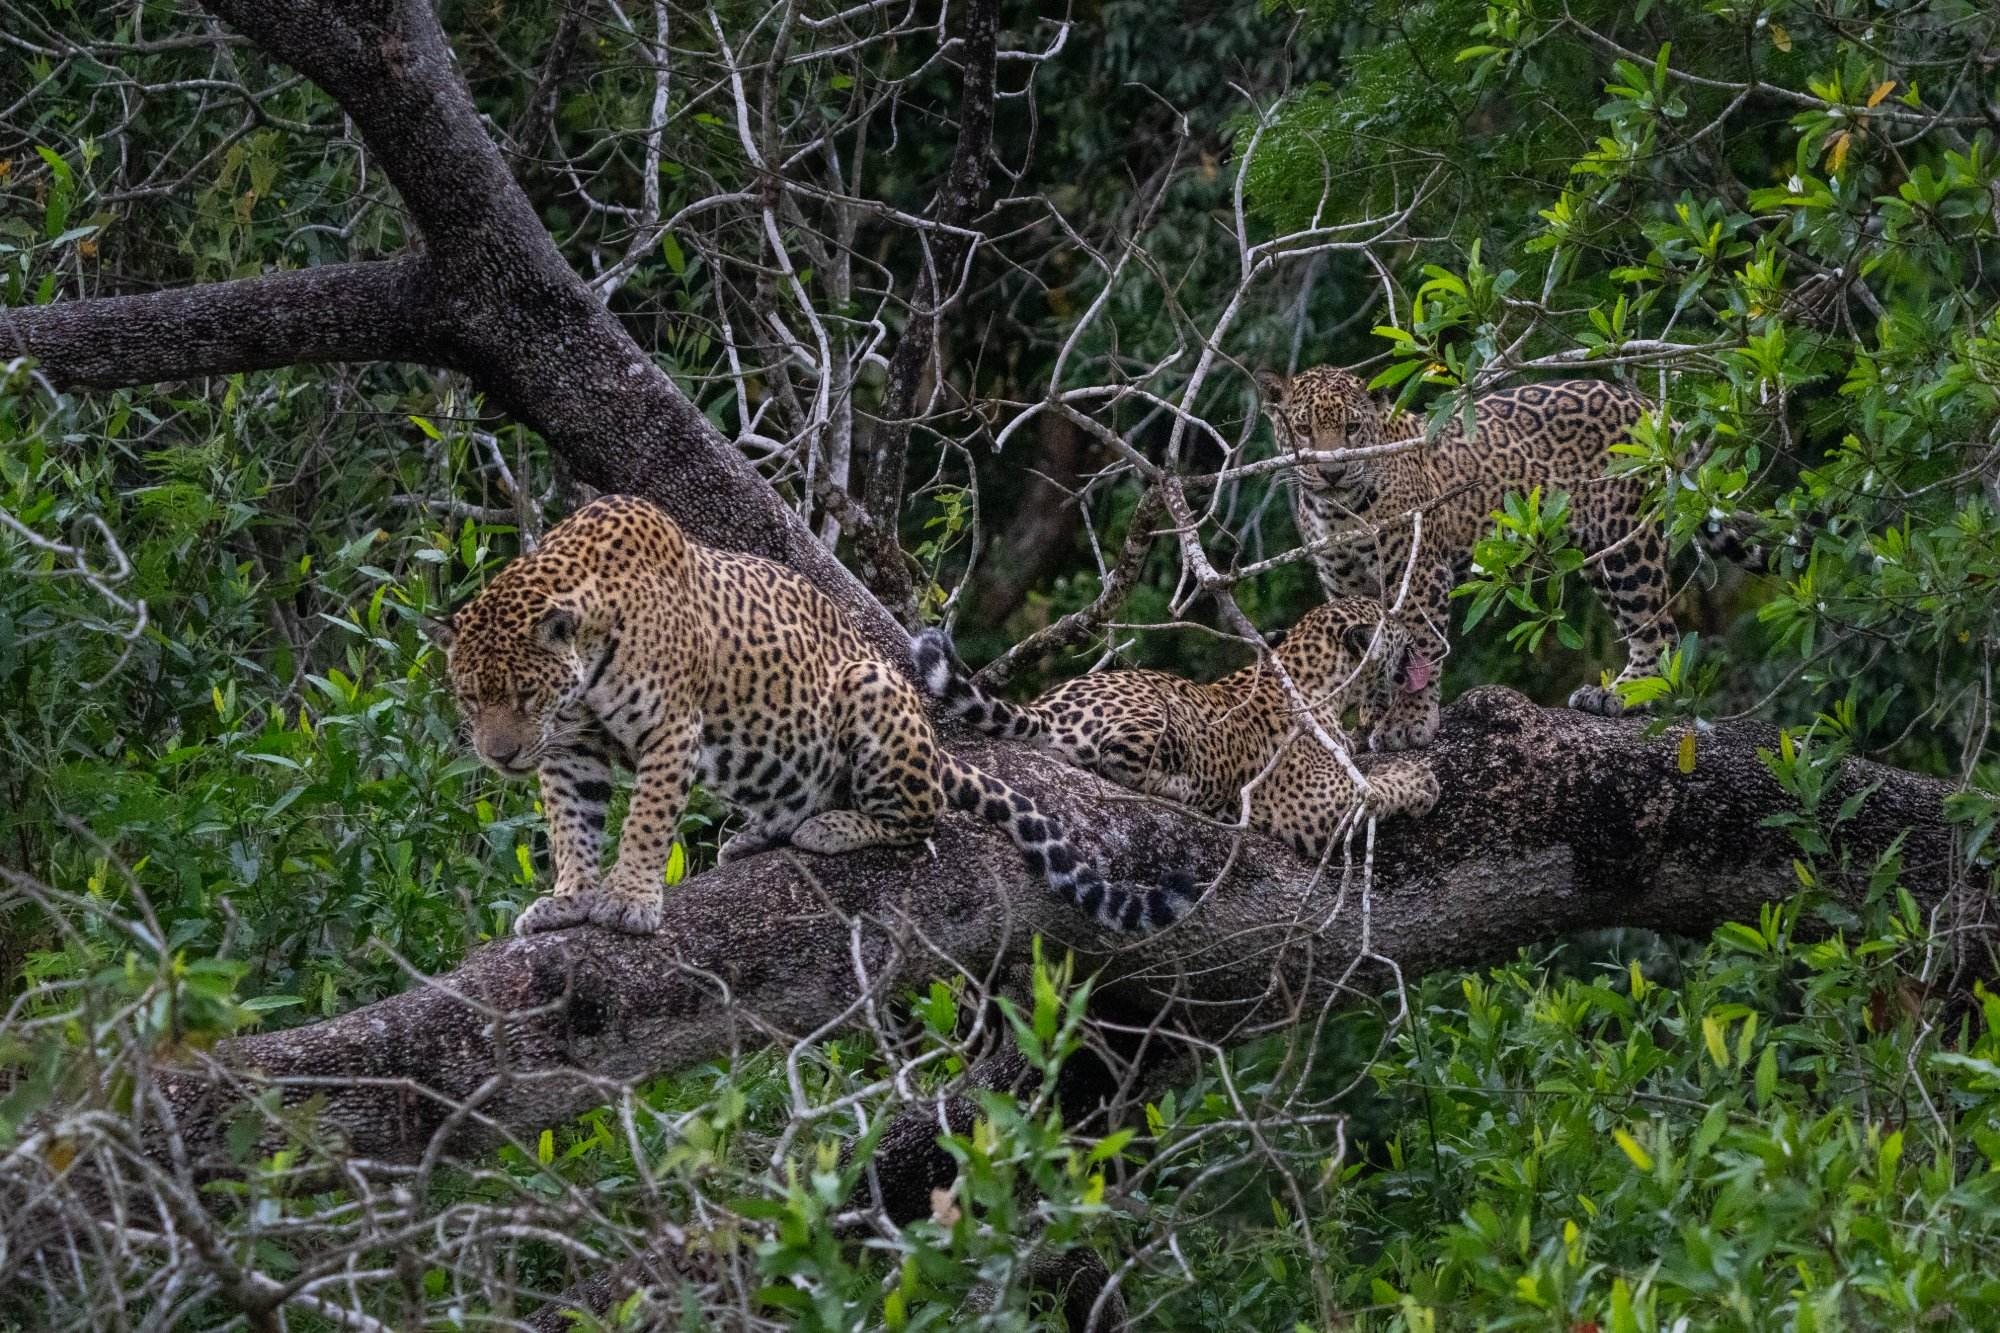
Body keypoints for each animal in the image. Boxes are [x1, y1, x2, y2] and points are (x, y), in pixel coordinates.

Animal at [427, 495, 1190, 936]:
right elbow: (570, 826)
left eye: (524, 696)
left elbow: (644, 819)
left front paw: (630, 899)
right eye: (471, 697)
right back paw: (760, 832)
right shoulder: (568, 751)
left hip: (869, 688)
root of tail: (936, 745)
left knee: (923, 816)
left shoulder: (670, 729)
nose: (498, 755)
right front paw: (569, 896)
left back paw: (832, 826)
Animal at [911, 596, 1440, 862]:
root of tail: (1047, 707)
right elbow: (1377, 787)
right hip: (1162, 717)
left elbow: (1370, 775)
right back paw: (1193, 793)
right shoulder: (1315, 807)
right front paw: (1420, 781)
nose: (1420, 632)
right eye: (1392, 619)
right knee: (1118, 763)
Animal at [1256, 364, 1694, 751]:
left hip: (1629, 539)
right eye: (1303, 430)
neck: (1337, 514)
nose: (1332, 472)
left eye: (1351, 428)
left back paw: (1624, 695)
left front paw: (1408, 722)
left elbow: (1421, 647)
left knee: (1658, 629)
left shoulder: (1420, 574)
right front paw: (1369, 720)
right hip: (1596, 554)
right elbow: (1371, 655)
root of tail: (1650, 405)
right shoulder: (1345, 586)